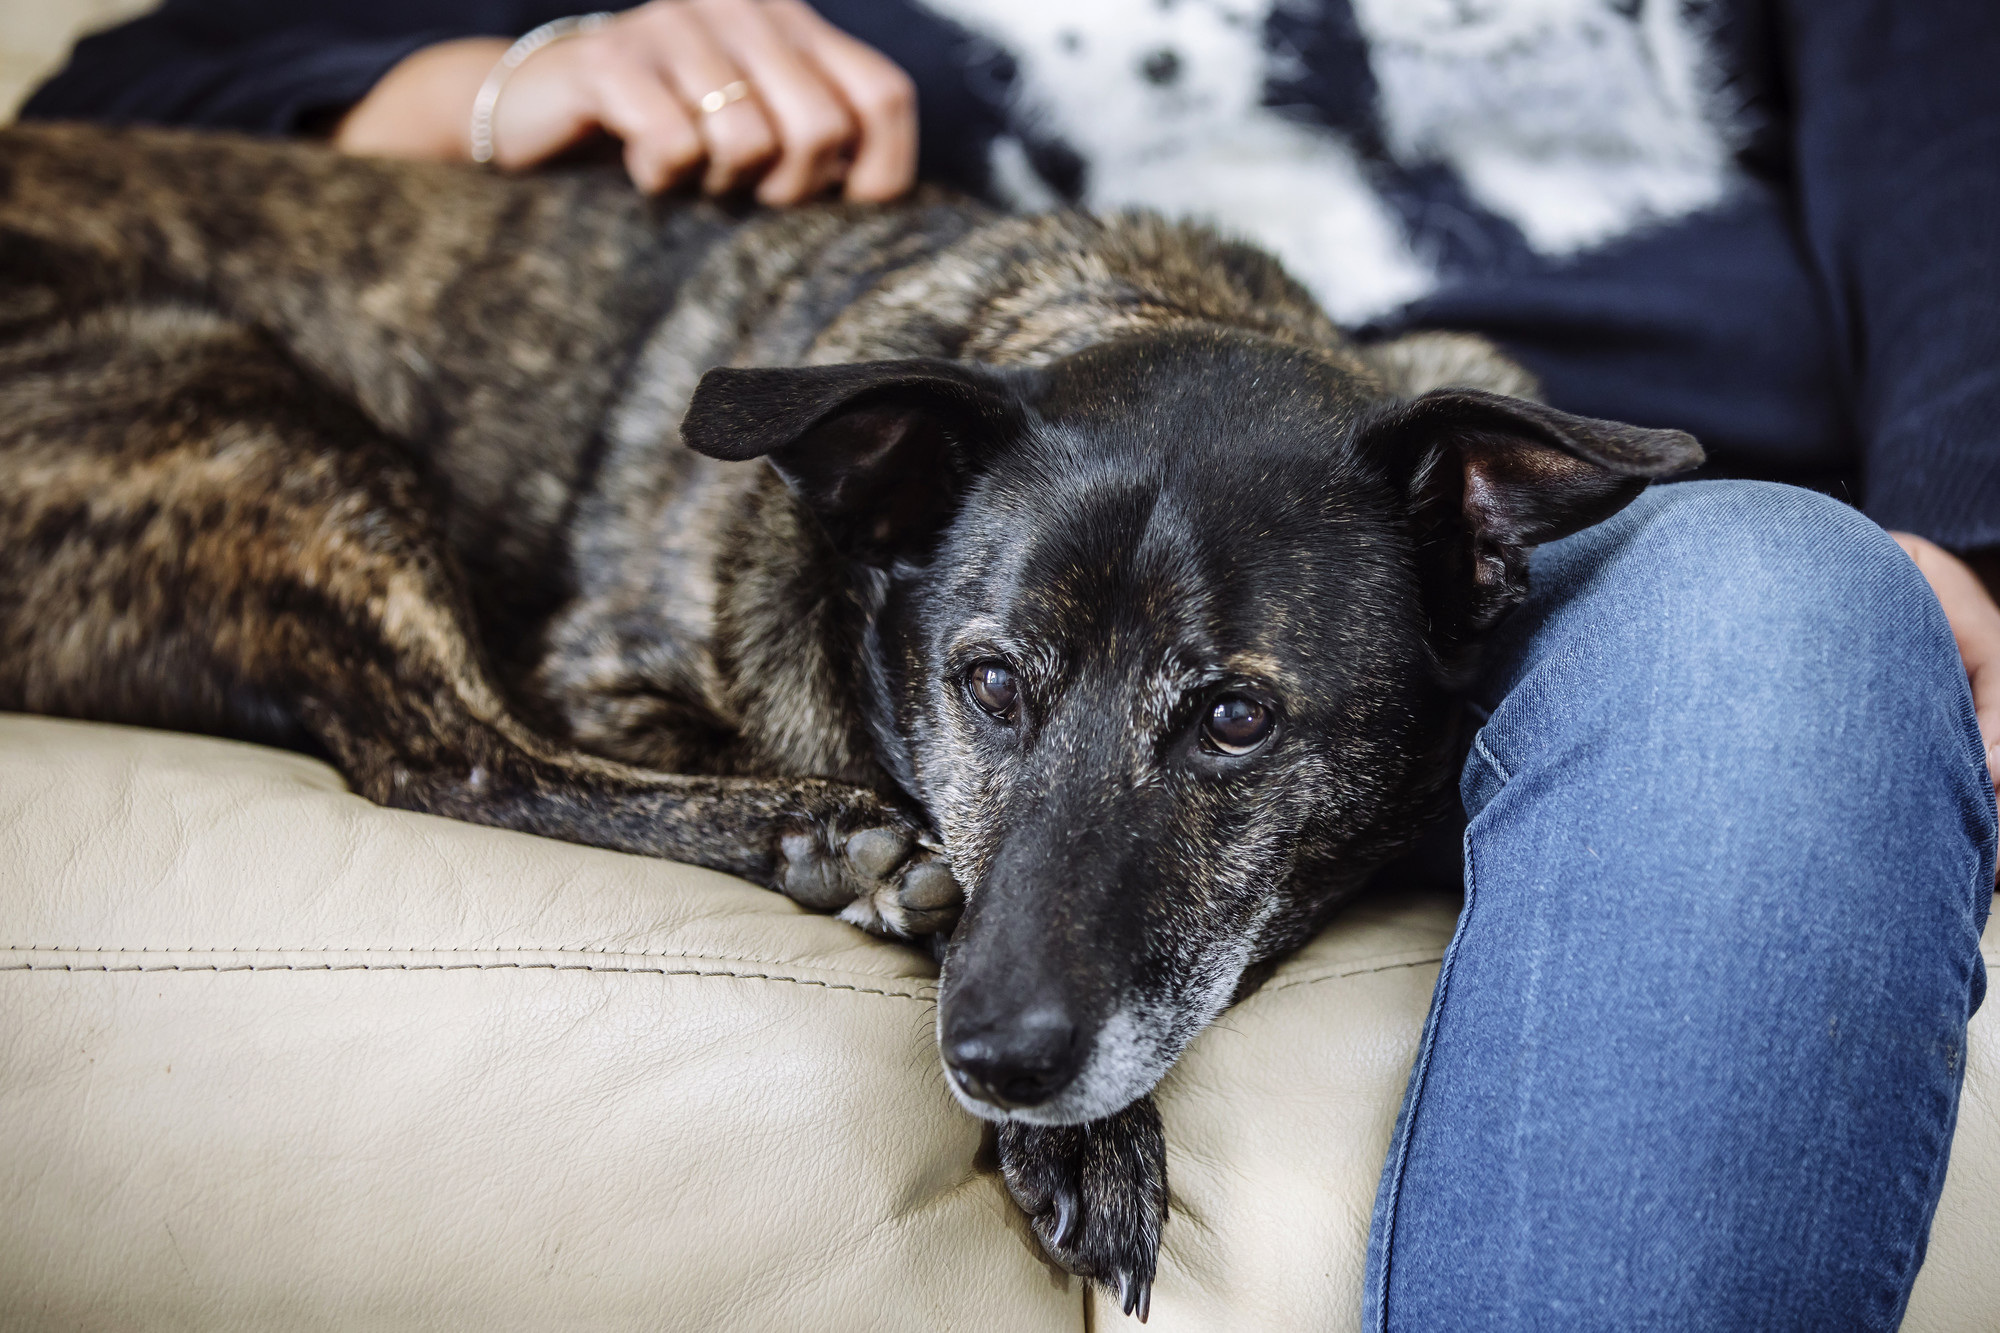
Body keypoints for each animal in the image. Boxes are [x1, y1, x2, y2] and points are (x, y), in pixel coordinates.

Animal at [0, 122, 1704, 1304]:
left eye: (1234, 718)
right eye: (990, 681)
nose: (1002, 1063)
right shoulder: (605, 672)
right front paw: (1069, 1119)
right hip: (248, 409)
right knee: (440, 751)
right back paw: (830, 840)